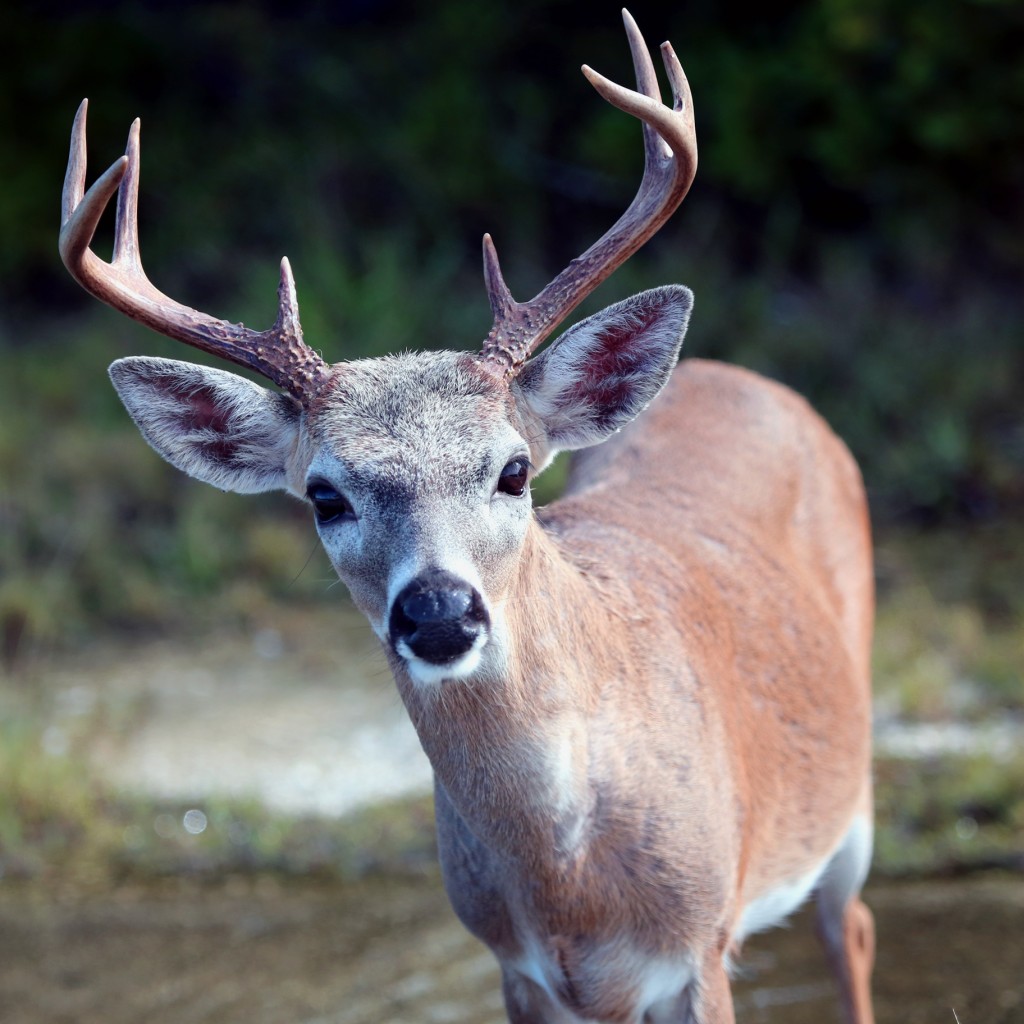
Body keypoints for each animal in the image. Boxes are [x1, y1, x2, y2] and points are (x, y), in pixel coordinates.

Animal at [59, 9, 872, 1024]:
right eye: (325, 495)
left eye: (514, 471)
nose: (439, 612)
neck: (571, 889)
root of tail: (737, 375)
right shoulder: (513, 968)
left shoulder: (700, 946)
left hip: (850, 788)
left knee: (851, 929)